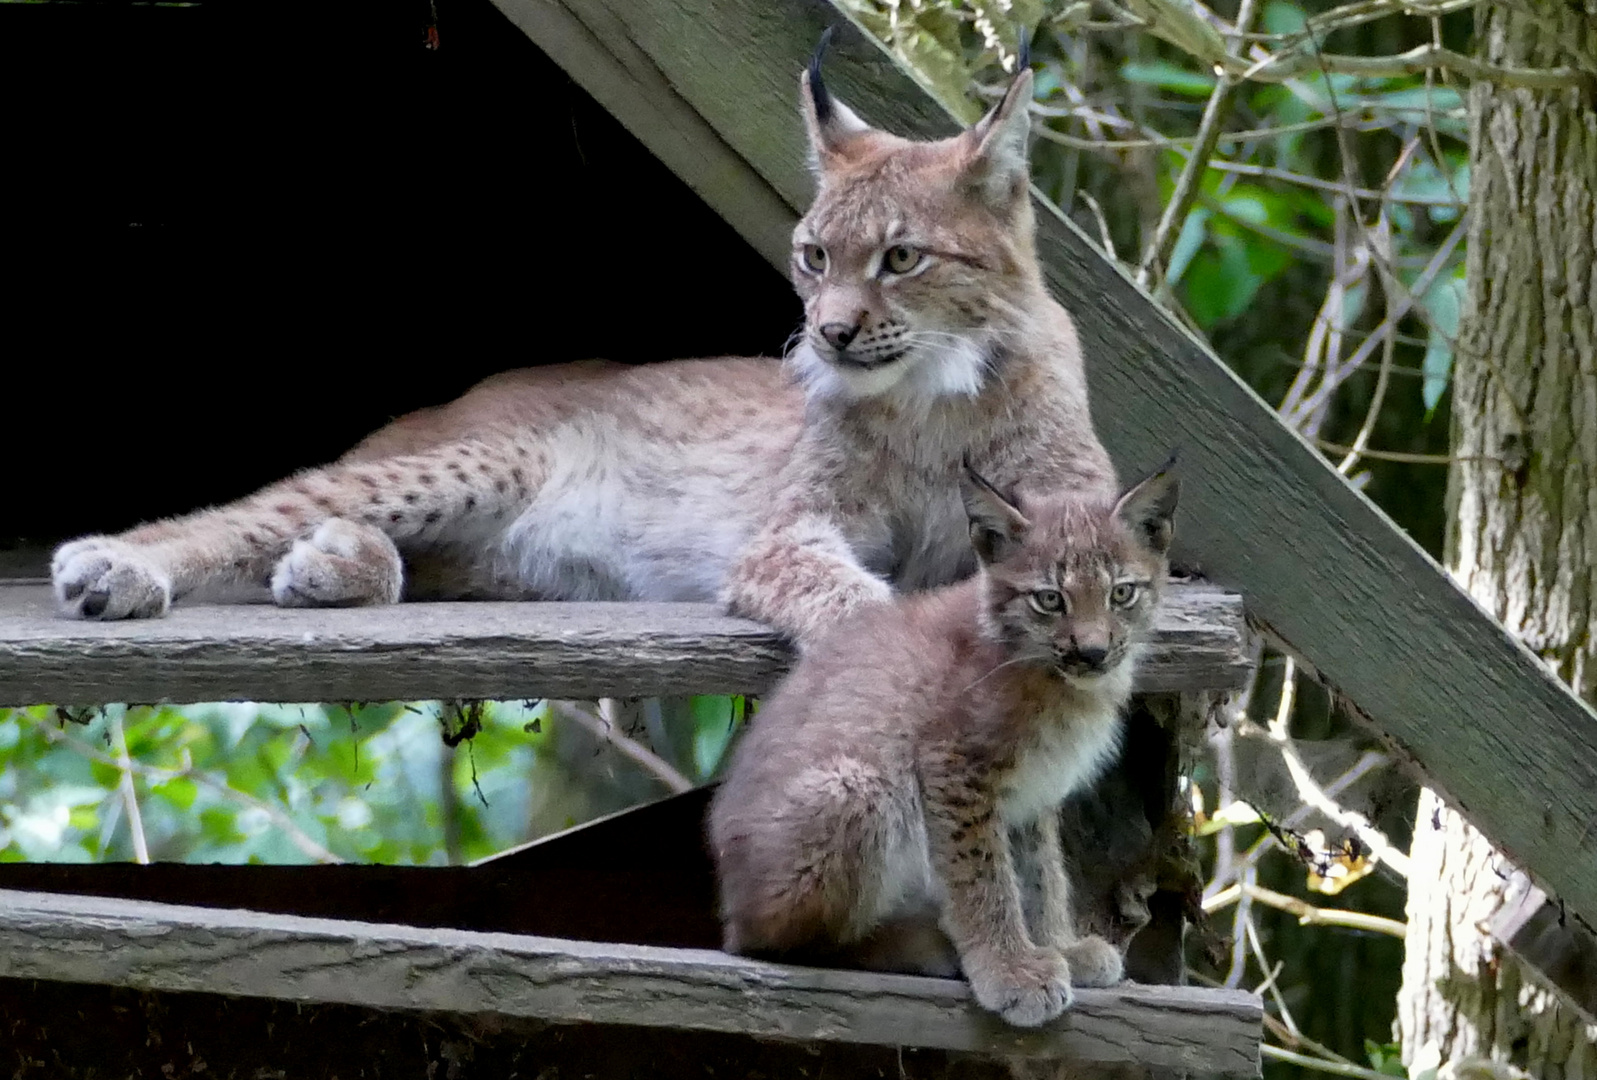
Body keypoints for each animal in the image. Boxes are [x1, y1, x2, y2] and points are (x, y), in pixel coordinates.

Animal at [709, 460, 1175, 1022]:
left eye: (1121, 594)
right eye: (1050, 600)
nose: (1093, 652)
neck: (1054, 676)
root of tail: (730, 904)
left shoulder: (1033, 791)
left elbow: (1042, 875)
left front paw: (1057, 948)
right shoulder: (953, 766)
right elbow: (985, 878)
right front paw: (1010, 970)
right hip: (856, 788)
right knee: (778, 945)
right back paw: (914, 947)